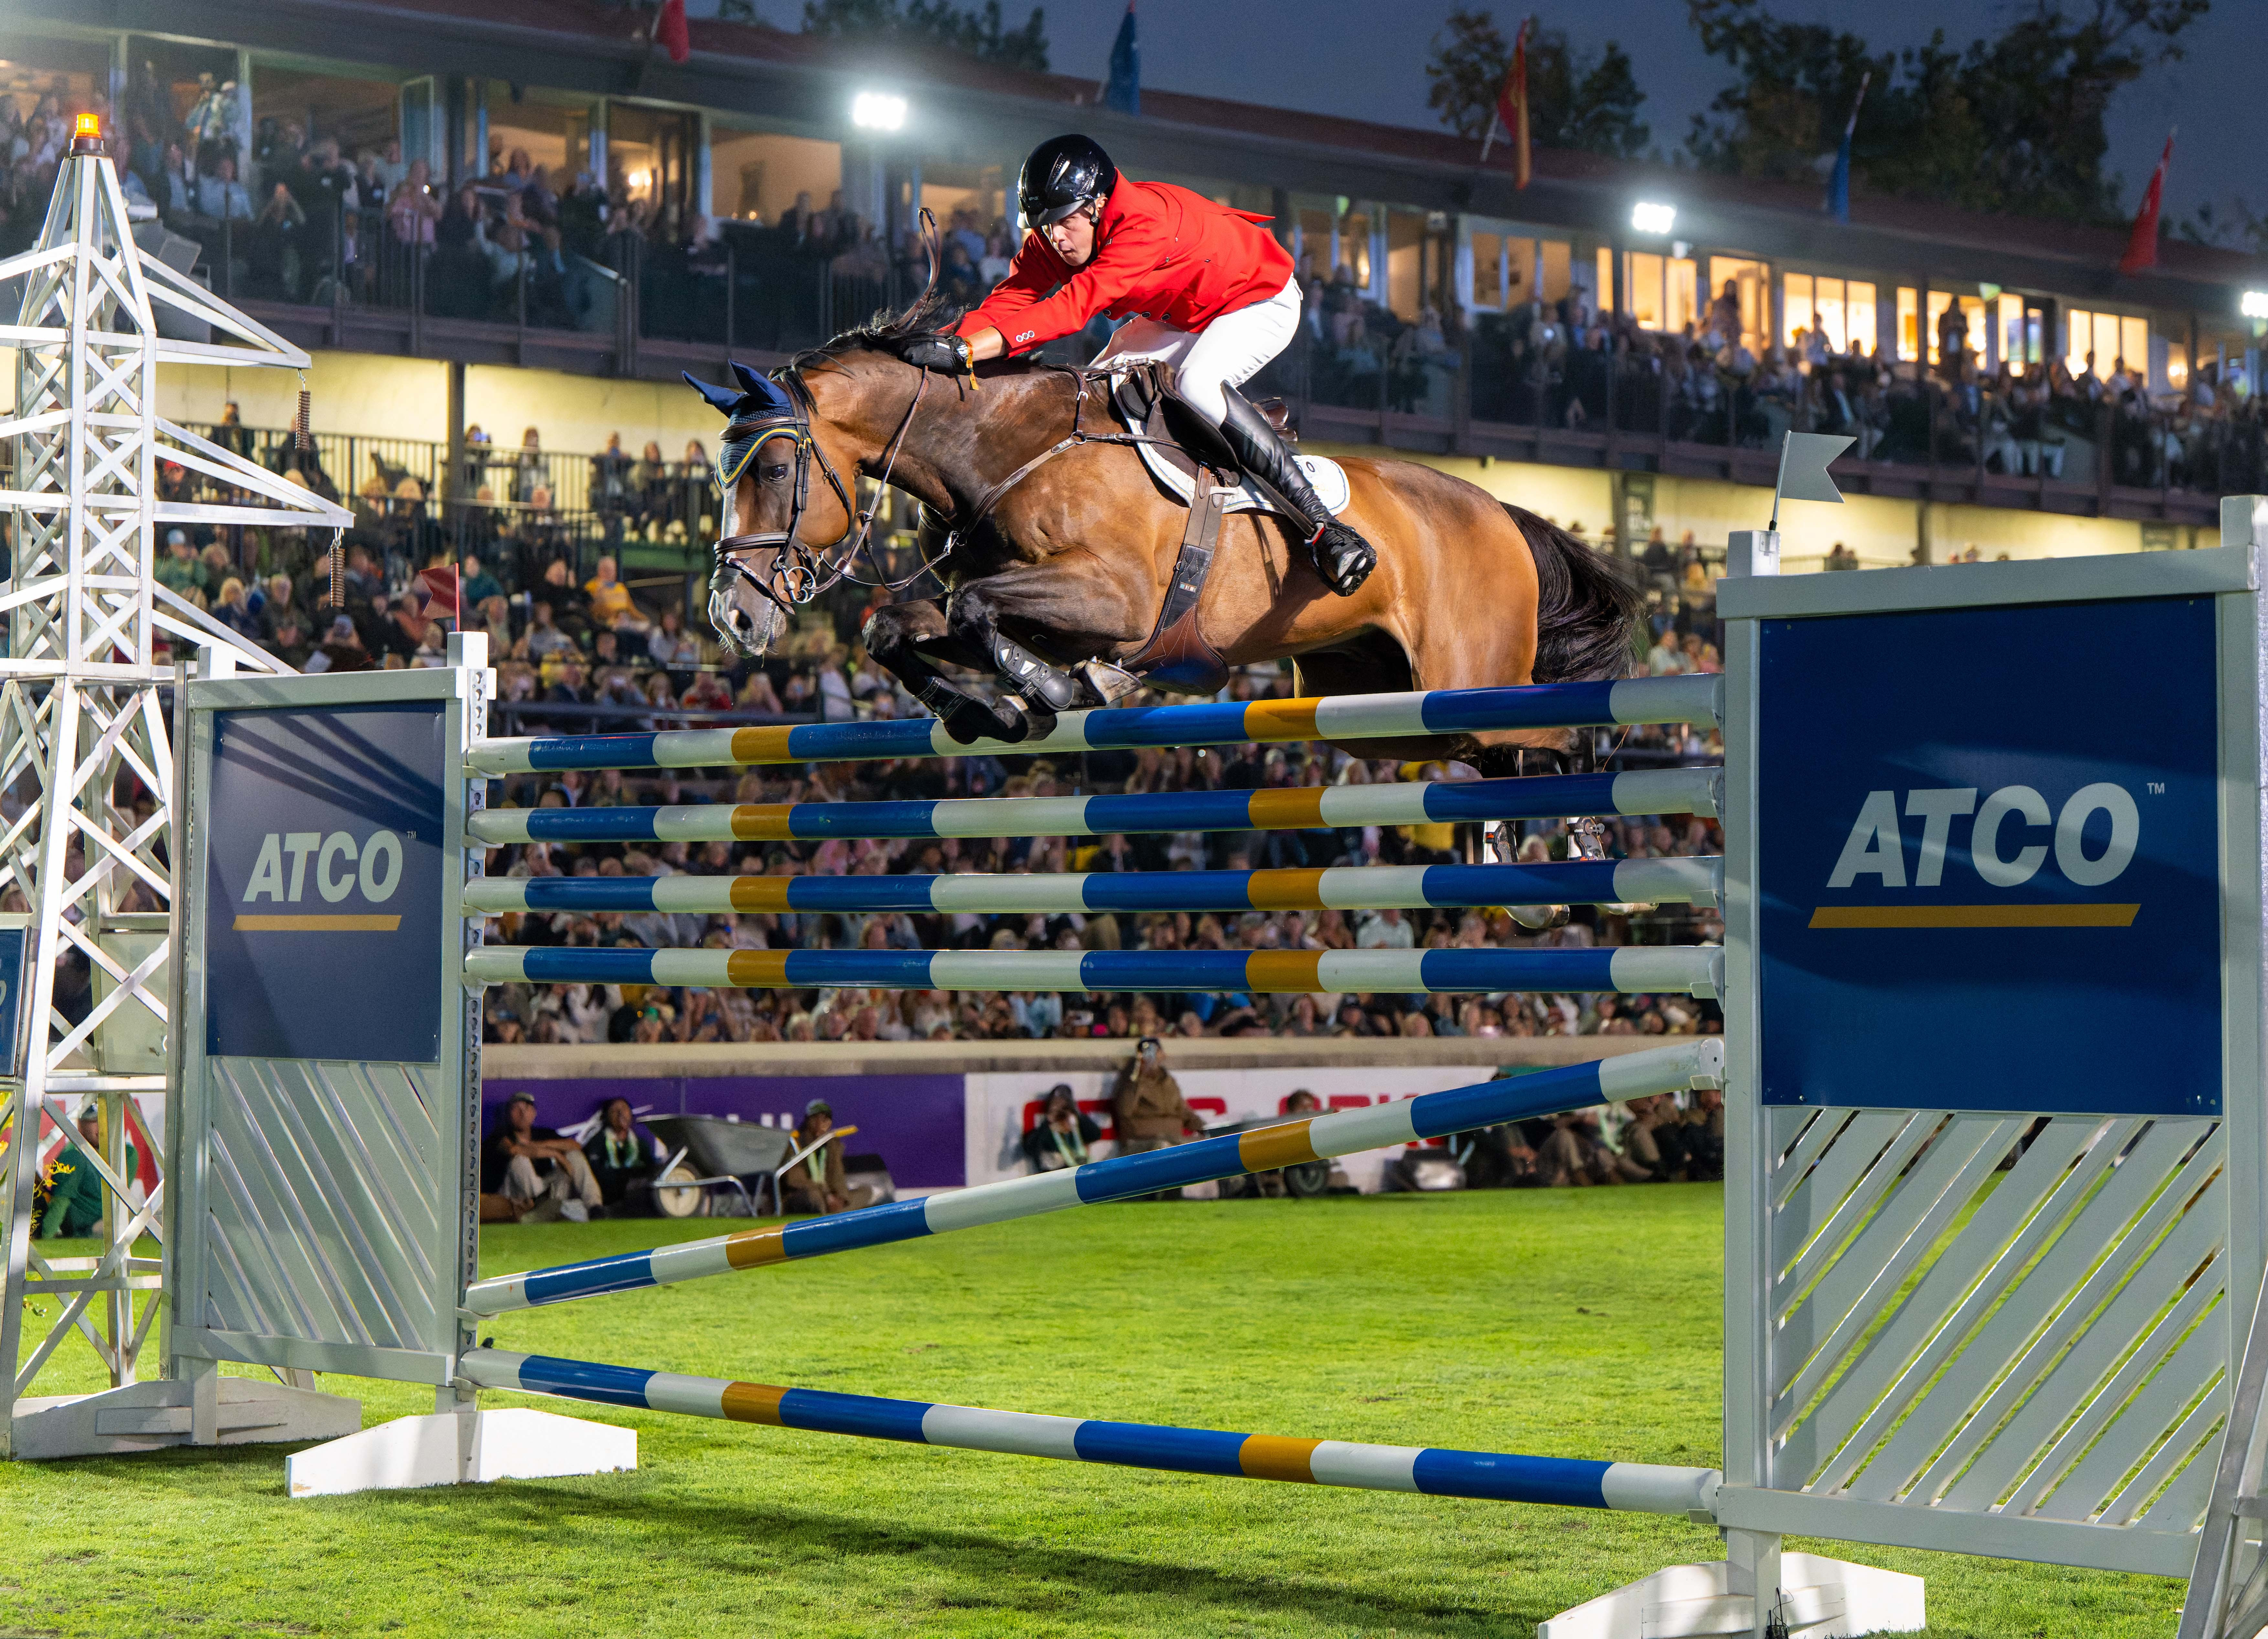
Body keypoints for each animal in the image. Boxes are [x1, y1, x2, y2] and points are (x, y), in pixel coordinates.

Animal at [688, 289, 1642, 778]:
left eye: (776, 472)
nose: (732, 617)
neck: (1000, 451)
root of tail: (1504, 514)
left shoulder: (1116, 602)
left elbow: (975, 614)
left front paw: (1060, 690)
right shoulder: (1025, 603)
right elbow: (900, 626)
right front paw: (983, 708)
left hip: (1467, 681)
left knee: (1556, 735)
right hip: (1383, 703)